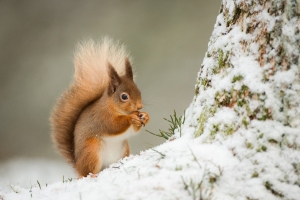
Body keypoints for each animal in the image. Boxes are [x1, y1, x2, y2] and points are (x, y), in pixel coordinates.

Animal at [51, 37, 151, 177]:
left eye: (139, 91)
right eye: (124, 96)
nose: (139, 106)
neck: (113, 107)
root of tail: (78, 166)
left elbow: (133, 130)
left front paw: (145, 116)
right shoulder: (101, 117)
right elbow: (112, 126)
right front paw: (131, 118)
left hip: (123, 150)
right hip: (92, 152)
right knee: (87, 172)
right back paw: (92, 175)